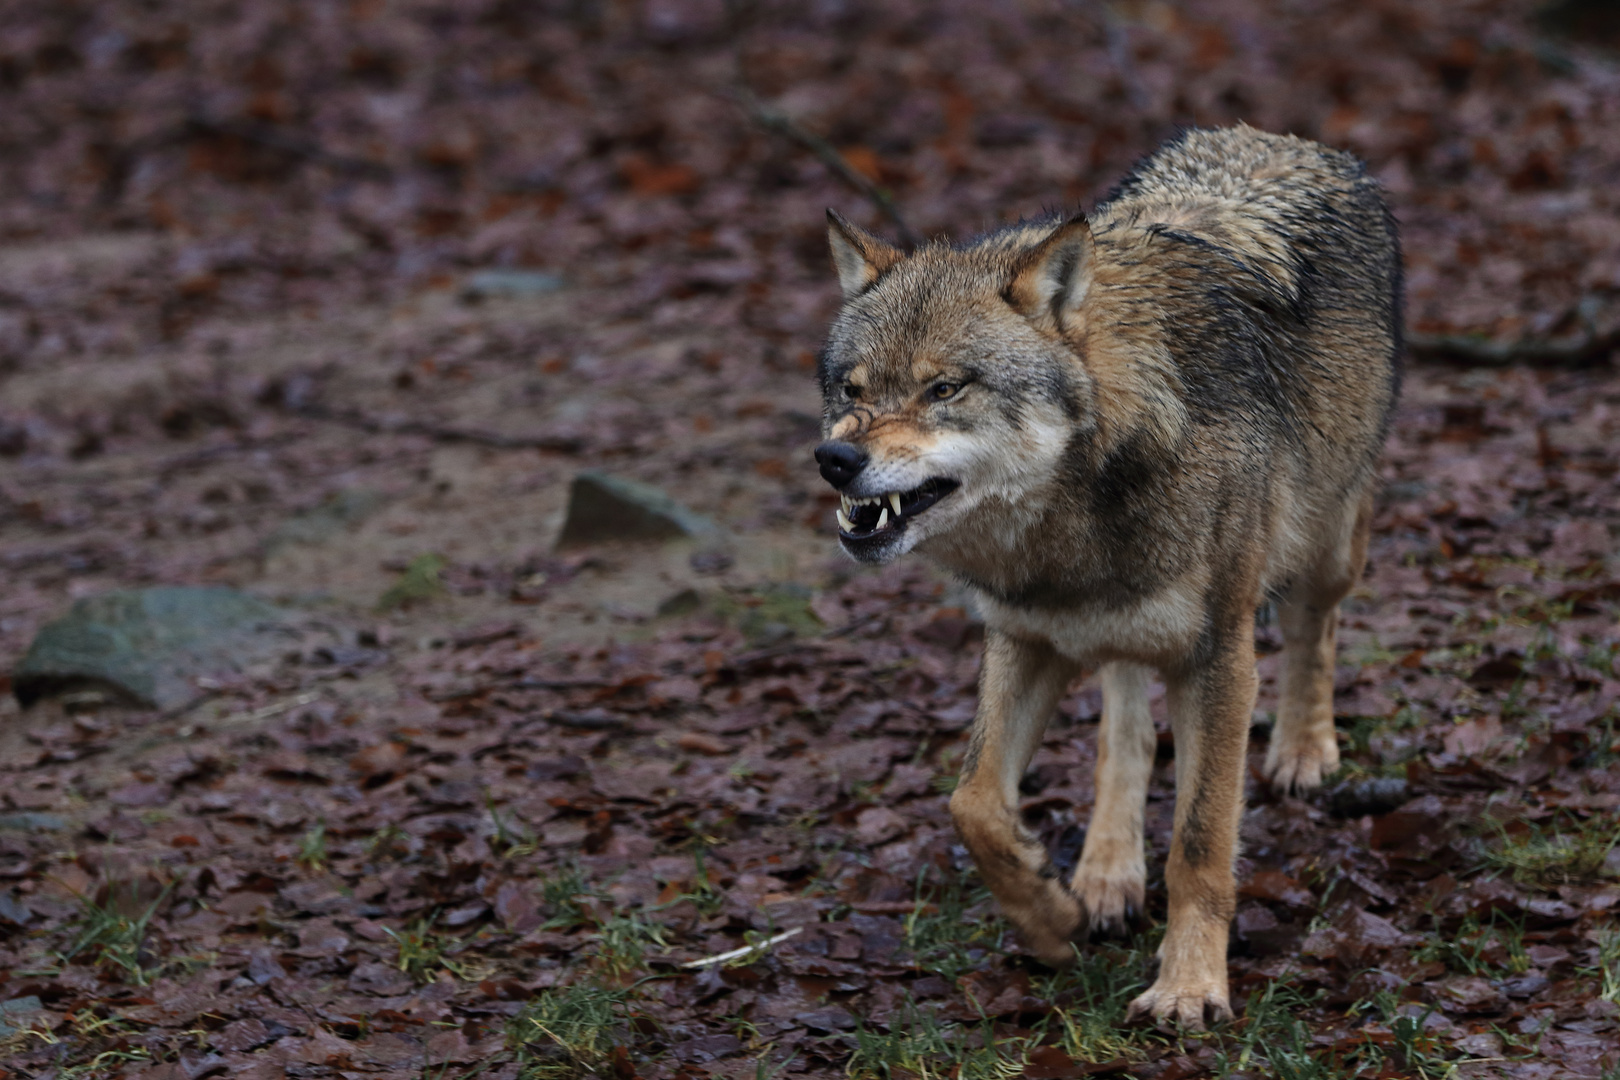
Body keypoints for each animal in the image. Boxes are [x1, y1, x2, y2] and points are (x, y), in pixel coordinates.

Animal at [816, 127, 1399, 1029]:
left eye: (944, 387)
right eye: (851, 387)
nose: (834, 459)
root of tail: (1275, 138)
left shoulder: (1220, 657)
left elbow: (1200, 844)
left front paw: (1189, 988)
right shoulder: (1023, 636)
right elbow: (973, 804)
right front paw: (1051, 919)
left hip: (1330, 539)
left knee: (1317, 627)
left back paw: (1303, 751)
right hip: (1126, 627)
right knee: (1125, 723)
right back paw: (1105, 872)